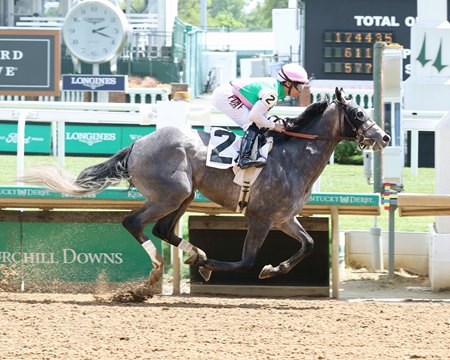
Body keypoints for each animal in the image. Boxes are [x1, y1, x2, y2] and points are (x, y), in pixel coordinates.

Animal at [23, 88, 390, 284]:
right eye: (359, 113)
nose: (384, 137)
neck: (294, 156)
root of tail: (139, 143)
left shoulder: (284, 218)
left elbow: (310, 244)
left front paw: (273, 269)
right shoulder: (260, 217)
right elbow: (246, 261)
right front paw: (211, 266)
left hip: (184, 194)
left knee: (163, 229)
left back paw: (192, 253)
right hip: (170, 193)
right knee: (133, 222)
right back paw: (161, 265)